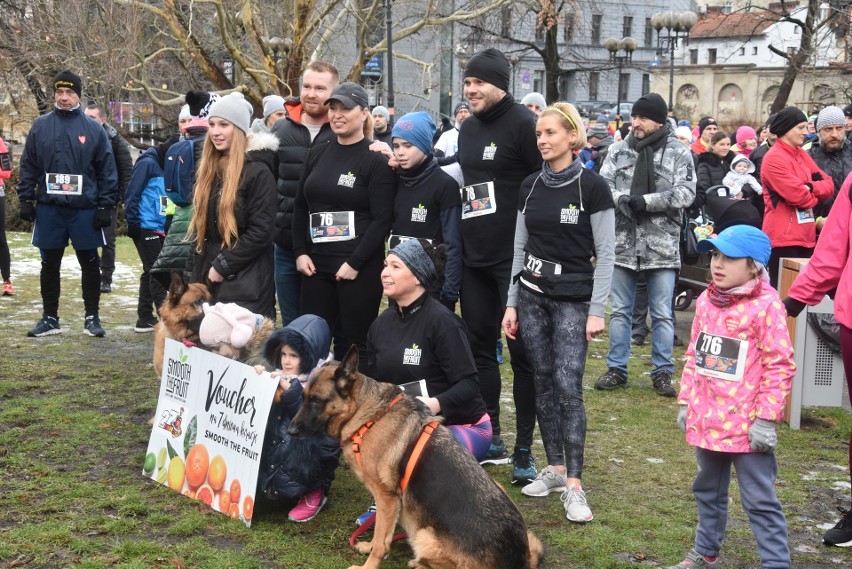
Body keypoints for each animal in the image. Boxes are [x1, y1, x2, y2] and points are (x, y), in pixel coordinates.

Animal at [290, 346, 544, 568]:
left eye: (316, 400)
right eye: (303, 397)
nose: (290, 431)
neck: (367, 416)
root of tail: (519, 560)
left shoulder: (387, 497)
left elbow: (382, 541)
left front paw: (368, 565)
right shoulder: (387, 501)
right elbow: (381, 531)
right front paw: (369, 545)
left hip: (424, 537)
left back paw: (418, 563)